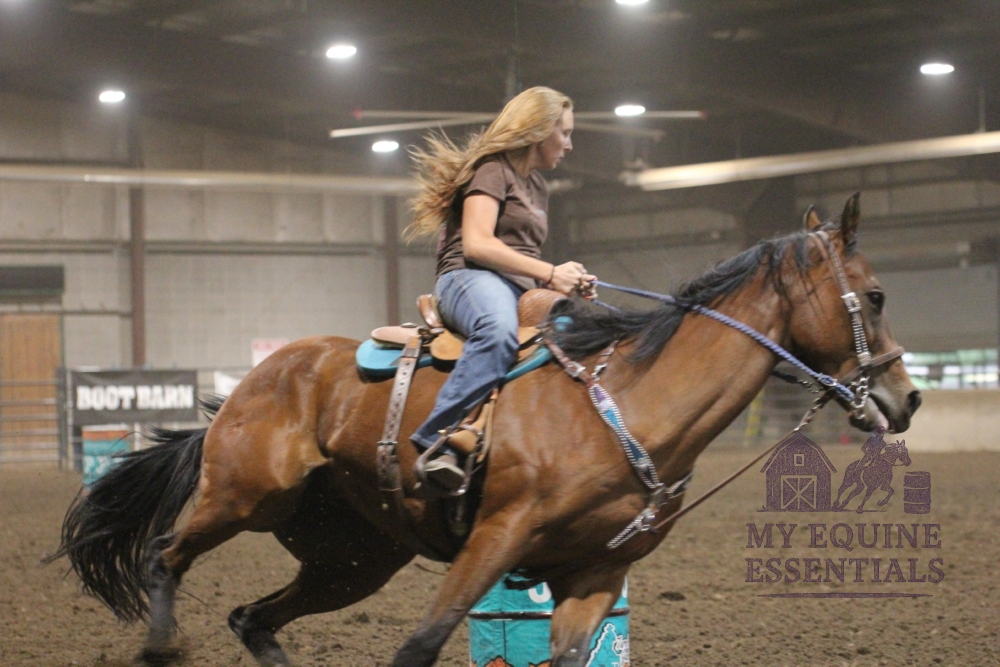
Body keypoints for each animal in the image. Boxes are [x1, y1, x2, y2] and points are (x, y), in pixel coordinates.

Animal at [54, 193, 921, 667]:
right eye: (876, 295)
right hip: (243, 494)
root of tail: (260, 380)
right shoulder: (496, 536)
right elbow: (420, 643)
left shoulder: (594, 572)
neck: (629, 403)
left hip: (351, 558)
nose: (908, 398)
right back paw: (160, 642)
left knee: (252, 617)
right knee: (167, 554)